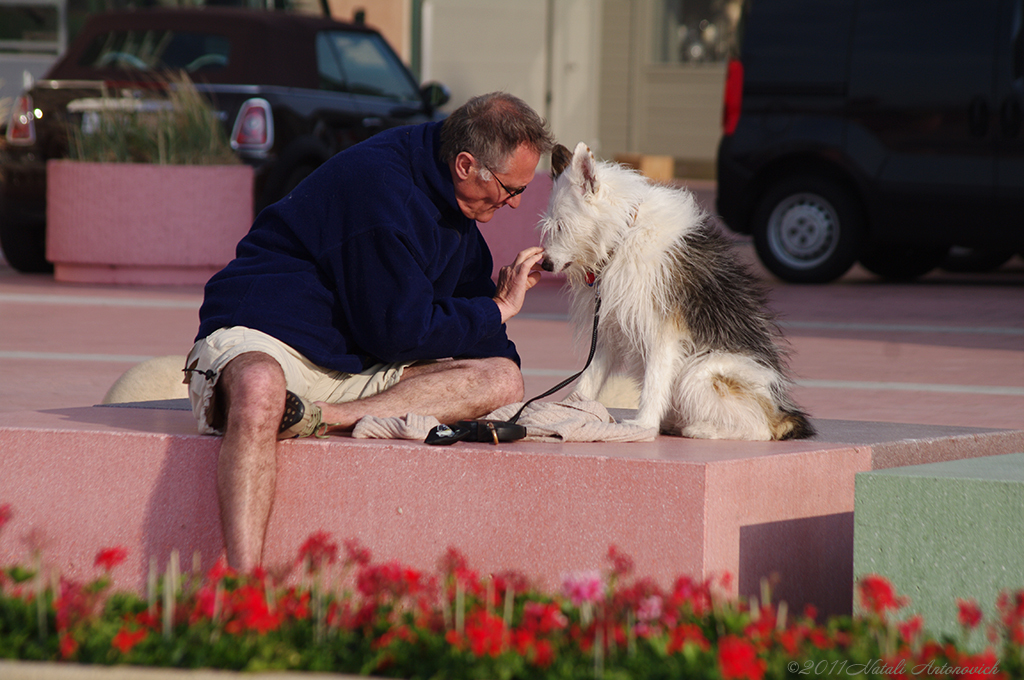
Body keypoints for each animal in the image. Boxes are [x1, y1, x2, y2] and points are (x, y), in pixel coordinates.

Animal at [540, 143, 811, 440]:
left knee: (761, 428)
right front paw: (569, 408)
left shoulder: (663, 333)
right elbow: (589, 378)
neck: (624, 234)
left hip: (702, 371)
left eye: (561, 226)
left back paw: (703, 428)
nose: (545, 264)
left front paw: (643, 424)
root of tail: (781, 411)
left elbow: (654, 382)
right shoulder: (608, 328)